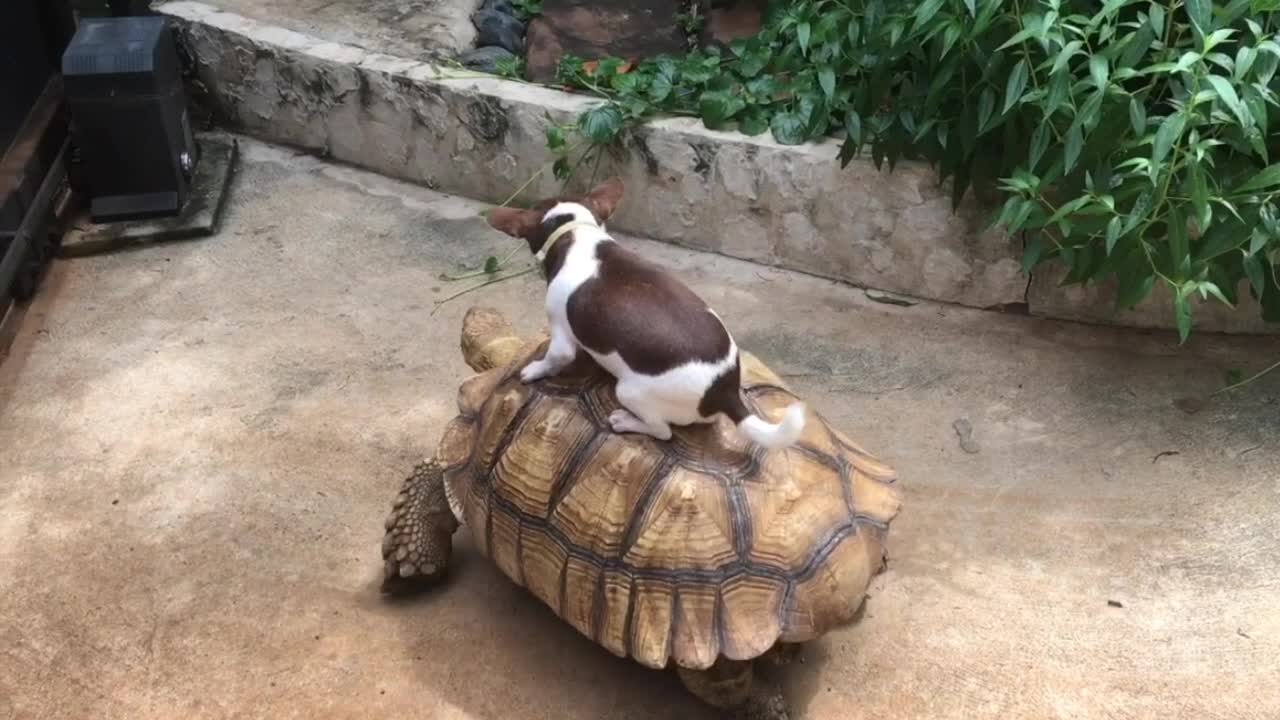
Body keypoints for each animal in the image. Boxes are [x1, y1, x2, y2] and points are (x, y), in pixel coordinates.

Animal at [483, 176, 803, 445]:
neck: (576, 232)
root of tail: (724, 391)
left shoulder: (560, 336)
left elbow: (553, 359)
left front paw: (534, 370)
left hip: (628, 390)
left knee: (662, 431)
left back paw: (626, 421)